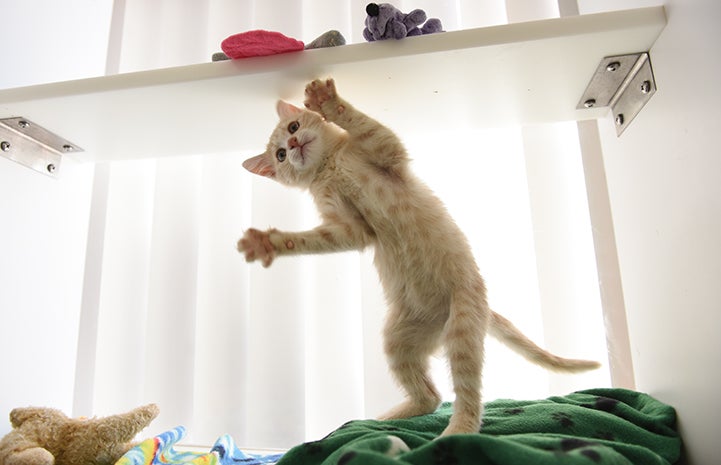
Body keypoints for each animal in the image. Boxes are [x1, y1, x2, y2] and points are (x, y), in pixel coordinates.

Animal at [239, 77, 600, 436]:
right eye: (280, 155)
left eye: (294, 126)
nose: (293, 143)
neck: (330, 166)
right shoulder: (349, 230)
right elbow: (309, 239)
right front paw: (266, 242)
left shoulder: (387, 150)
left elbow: (364, 124)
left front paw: (326, 100)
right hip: (398, 340)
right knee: (432, 396)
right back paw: (390, 420)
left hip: (462, 324)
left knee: (465, 393)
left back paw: (453, 433)